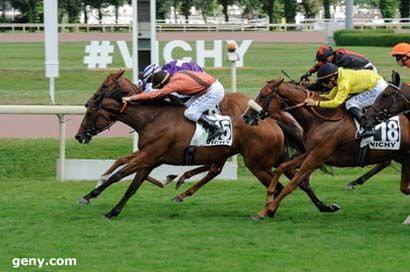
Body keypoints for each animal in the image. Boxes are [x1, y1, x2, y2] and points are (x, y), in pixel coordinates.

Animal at [75, 70, 338, 219]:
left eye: (91, 109)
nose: (78, 136)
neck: (152, 117)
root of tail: (271, 120)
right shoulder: (150, 159)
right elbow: (131, 185)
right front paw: (114, 210)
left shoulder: (147, 155)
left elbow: (118, 176)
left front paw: (88, 196)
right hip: (275, 158)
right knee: (301, 180)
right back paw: (325, 206)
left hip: (258, 164)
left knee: (280, 183)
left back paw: (269, 210)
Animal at [243, 79, 410, 220]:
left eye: (263, 95)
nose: (246, 116)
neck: (321, 120)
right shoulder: (310, 153)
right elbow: (282, 167)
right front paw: (269, 196)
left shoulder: (316, 157)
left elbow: (292, 184)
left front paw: (264, 211)